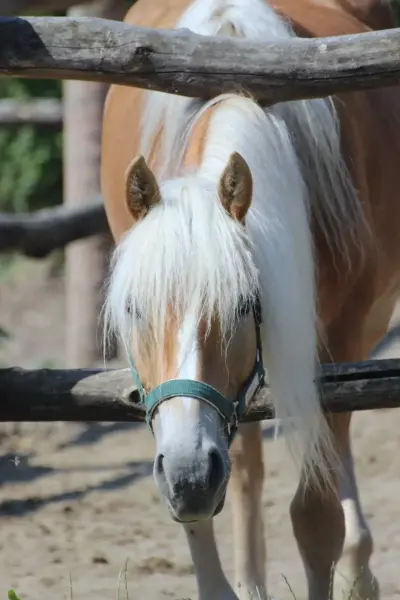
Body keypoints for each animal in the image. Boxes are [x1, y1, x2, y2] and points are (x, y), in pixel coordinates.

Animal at [101, 1, 400, 600]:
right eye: (133, 309)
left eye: (244, 304)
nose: (190, 475)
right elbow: (212, 509)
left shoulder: (337, 348)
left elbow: (317, 516)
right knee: (244, 472)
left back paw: (359, 571)